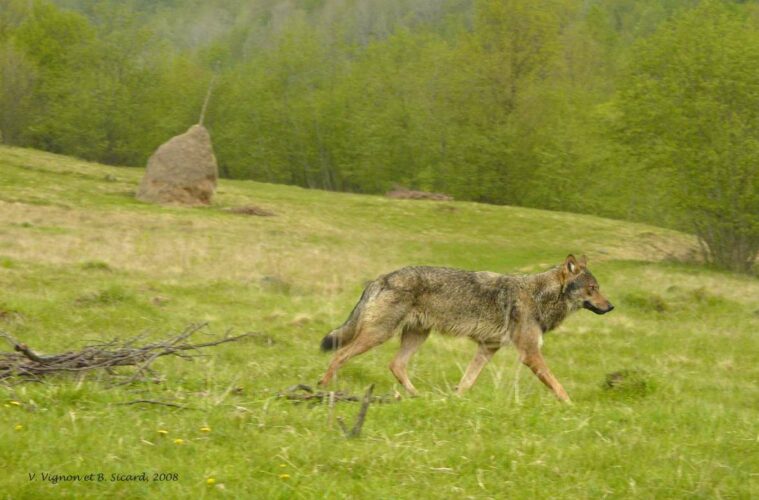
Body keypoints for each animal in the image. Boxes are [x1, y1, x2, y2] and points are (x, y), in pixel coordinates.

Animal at [318, 254, 616, 402]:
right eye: (592, 289)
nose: (611, 306)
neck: (540, 296)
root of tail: (380, 278)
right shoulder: (529, 353)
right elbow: (557, 385)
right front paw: (571, 405)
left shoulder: (487, 348)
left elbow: (467, 381)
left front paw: (455, 401)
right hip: (378, 335)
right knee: (339, 355)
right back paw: (323, 388)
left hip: (416, 336)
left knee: (396, 365)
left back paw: (417, 396)